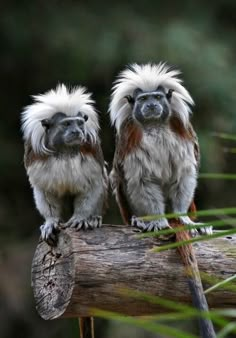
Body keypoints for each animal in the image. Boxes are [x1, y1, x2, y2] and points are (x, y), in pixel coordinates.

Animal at [21, 84, 108, 338]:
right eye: (67, 124)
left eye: (79, 123)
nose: (77, 131)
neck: (64, 151)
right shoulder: (37, 159)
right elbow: (45, 192)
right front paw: (50, 222)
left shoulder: (90, 152)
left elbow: (92, 185)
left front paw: (83, 218)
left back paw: (95, 219)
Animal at [109, 64, 216, 338]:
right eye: (143, 99)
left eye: (157, 97)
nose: (151, 106)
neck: (155, 125)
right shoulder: (130, 139)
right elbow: (142, 181)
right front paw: (156, 221)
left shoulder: (183, 133)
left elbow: (183, 174)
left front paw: (182, 218)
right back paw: (139, 220)